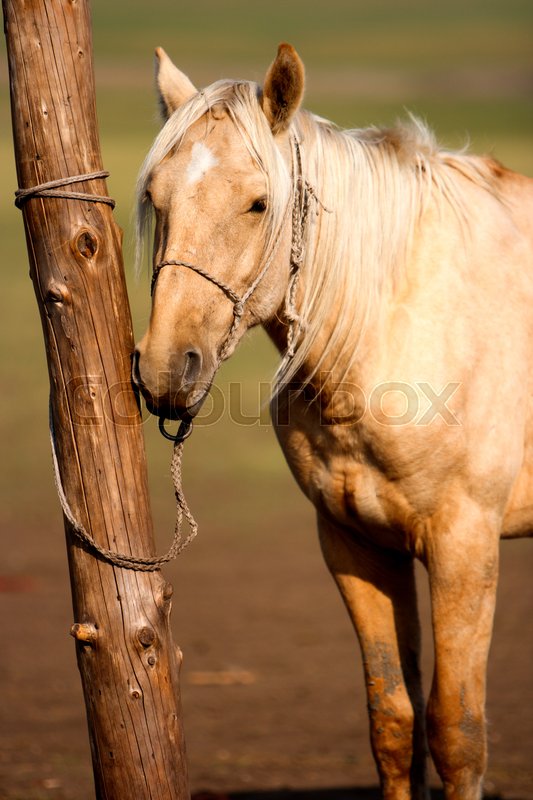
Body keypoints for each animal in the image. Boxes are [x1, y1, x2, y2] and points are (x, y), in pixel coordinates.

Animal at [132, 43, 533, 799]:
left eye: (258, 202)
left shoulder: (465, 547)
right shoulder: (356, 544)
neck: (394, 322)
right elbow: (394, 722)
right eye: (158, 202)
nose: (168, 368)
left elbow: (457, 731)